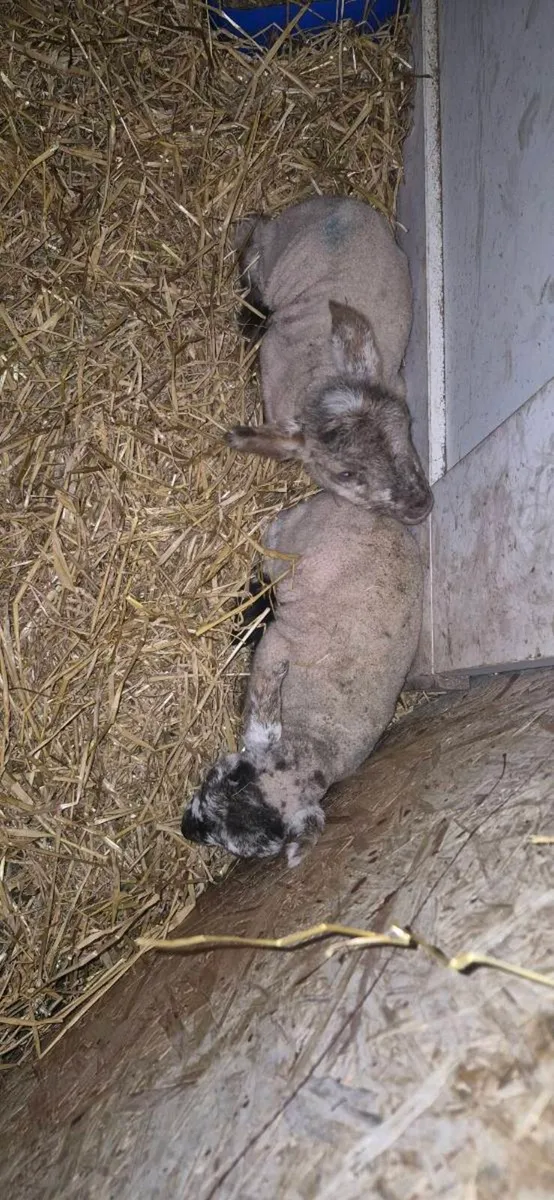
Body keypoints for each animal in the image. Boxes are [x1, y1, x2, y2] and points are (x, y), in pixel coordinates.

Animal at [181, 491, 423, 866]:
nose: (185, 829)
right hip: (289, 533)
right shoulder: (275, 647)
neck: (312, 740)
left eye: (238, 847)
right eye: (225, 777)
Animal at [227, 195, 433, 525]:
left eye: (407, 426)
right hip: (271, 244)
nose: (419, 505)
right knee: (249, 235)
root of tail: (337, 202)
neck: (319, 375)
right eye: (345, 474)